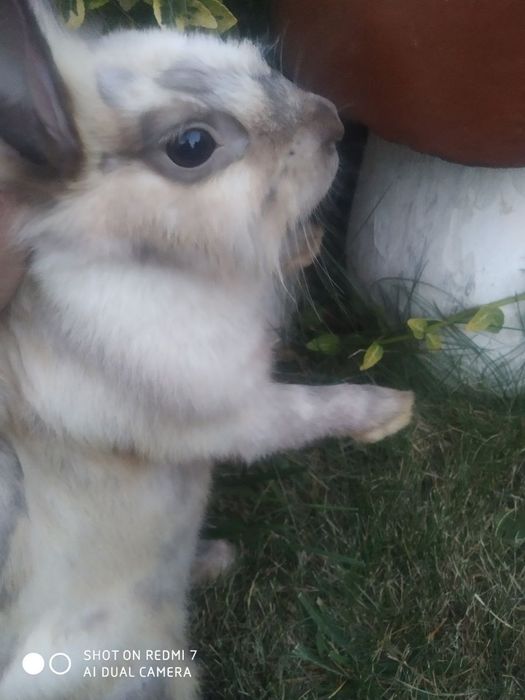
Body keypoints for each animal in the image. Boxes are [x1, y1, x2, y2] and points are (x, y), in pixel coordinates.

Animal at [0, 1, 414, 698]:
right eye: (191, 146)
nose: (332, 123)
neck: (150, 264)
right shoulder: (236, 411)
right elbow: (312, 409)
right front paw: (389, 411)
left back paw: (214, 557)